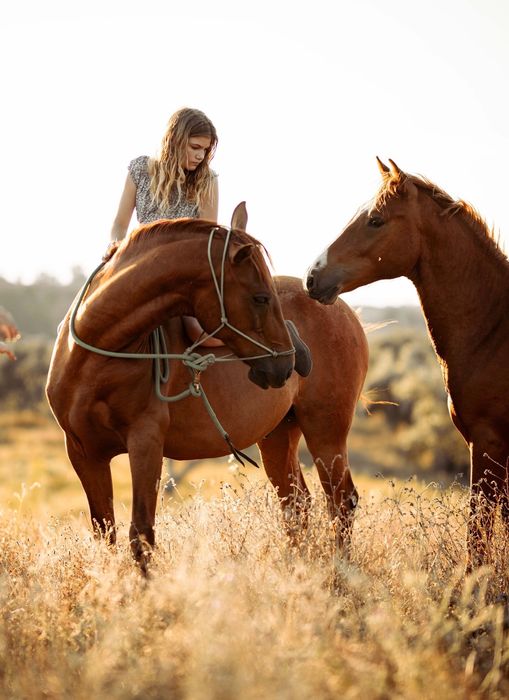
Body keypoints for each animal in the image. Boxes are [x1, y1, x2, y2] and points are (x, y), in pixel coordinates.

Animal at [47, 204, 368, 569]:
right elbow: (105, 533)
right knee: (296, 504)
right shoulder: (84, 453)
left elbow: (141, 534)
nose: (292, 362)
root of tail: (345, 311)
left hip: (325, 432)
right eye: (260, 297)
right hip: (278, 435)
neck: (96, 356)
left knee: (341, 500)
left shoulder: (145, 442)